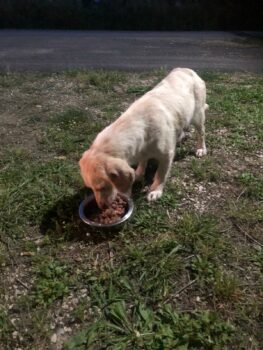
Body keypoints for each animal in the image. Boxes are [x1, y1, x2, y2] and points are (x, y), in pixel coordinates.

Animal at [79, 68, 209, 208]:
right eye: (91, 188)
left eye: (102, 187)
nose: (102, 207)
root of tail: (186, 69)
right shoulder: (142, 151)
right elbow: (142, 162)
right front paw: (138, 174)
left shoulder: (166, 155)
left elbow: (160, 174)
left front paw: (155, 191)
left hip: (198, 116)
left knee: (201, 133)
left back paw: (201, 148)